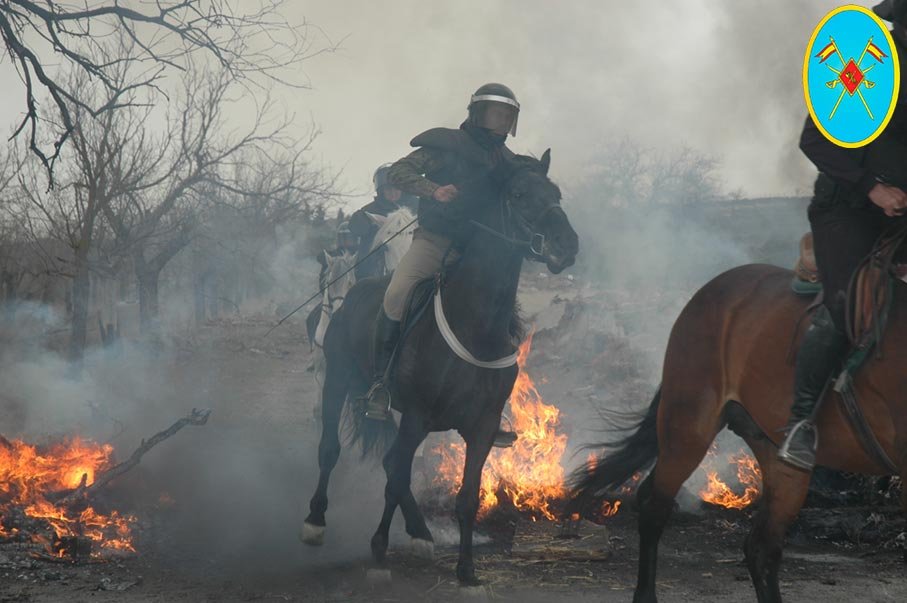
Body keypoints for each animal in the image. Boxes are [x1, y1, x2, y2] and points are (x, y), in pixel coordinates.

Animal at [301, 150, 579, 586]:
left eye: (555, 194)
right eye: (518, 194)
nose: (566, 245)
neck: (475, 323)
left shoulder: (481, 427)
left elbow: (465, 497)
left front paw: (466, 570)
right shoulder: (416, 415)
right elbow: (396, 476)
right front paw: (379, 551)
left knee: (389, 461)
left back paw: (420, 532)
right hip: (338, 382)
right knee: (331, 448)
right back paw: (316, 522)